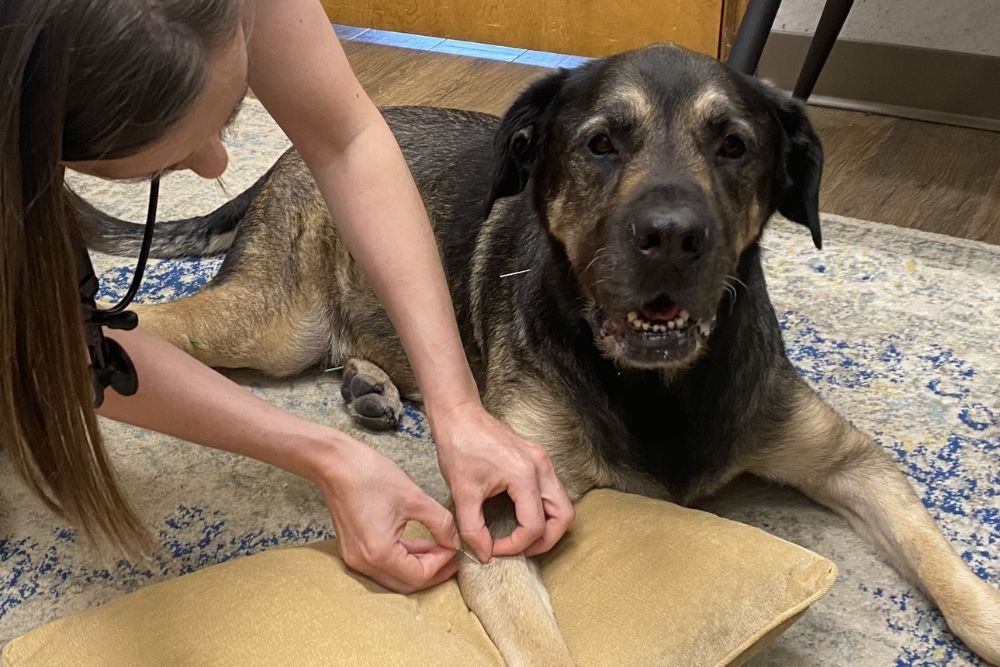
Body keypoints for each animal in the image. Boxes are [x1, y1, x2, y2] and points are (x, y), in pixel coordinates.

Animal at [80, 44, 1000, 664]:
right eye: (600, 143)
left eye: (734, 145)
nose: (672, 237)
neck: (657, 384)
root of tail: (280, 158)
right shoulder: (497, 513)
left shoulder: (852, 461)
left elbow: (945, 567)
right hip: (270, 322)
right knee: (152, 328)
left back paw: (372, 385)